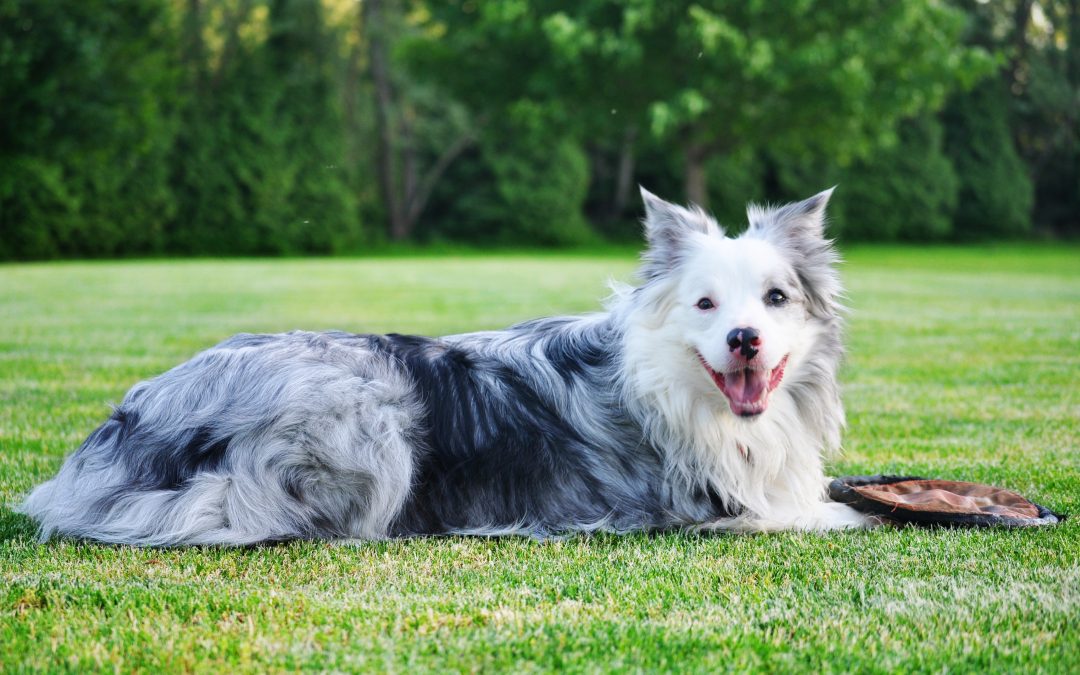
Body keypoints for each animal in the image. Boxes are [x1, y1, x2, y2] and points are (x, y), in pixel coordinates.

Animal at [21, 186, 872, 544]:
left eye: (775, 298)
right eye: (705, 304)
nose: (745, 339)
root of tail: (133, 420)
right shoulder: (702, 503)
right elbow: (826, 512)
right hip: (367, 413)